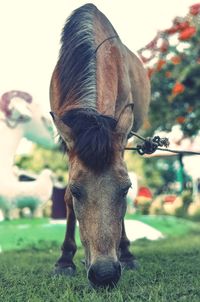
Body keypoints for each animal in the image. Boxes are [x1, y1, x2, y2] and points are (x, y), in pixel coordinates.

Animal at [50, 4, 150, 288]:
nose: (104, 275)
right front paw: (65, 260)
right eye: (76, 190)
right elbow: (65, 198)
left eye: (126, 189)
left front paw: (126, 254)